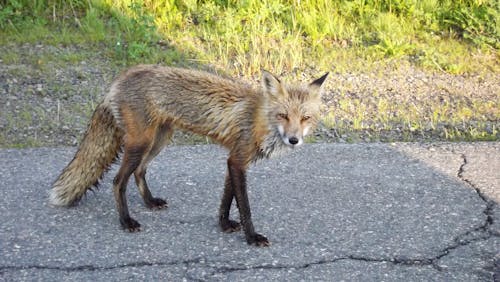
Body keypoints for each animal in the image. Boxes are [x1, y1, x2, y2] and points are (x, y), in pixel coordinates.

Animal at [50, 64, 328, 247]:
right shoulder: (238, 160)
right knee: (118, 181)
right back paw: (126, 221)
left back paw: (150, 202)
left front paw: (224, 224)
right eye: (283, 116)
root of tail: (118, 80)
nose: (294, 139)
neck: (259, 119)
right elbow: (245, 205)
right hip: (140, 143)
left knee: (140, 171)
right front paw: (251, 237)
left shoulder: (234, 159)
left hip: (159, 140)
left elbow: (227, 199)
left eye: (305, 118)